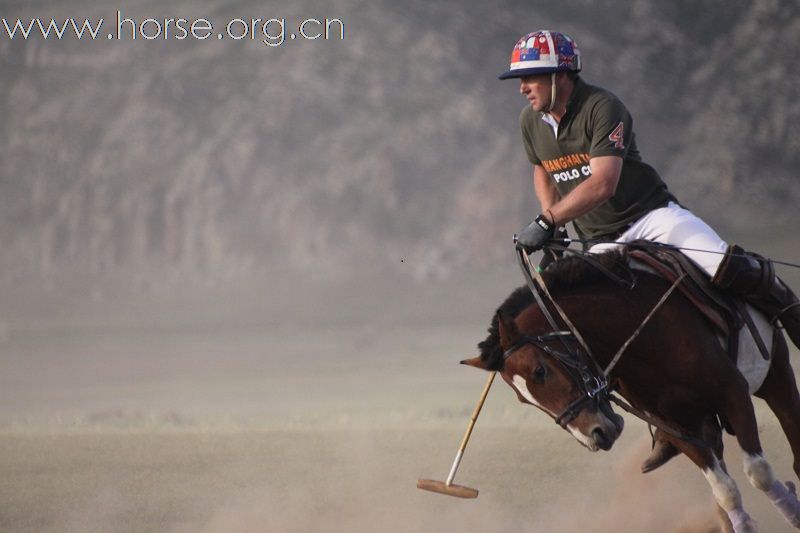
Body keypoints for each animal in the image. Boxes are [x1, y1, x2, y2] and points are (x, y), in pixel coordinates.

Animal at [460, 250, 800, 532]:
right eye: (522, 399)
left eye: (539, 371)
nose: (595, 436)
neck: (640, 334)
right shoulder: (677, 427)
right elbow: (724, 489)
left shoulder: (733, 392)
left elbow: (759, 471)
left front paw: (791, 508)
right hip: (703, 422)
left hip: (775, 375)